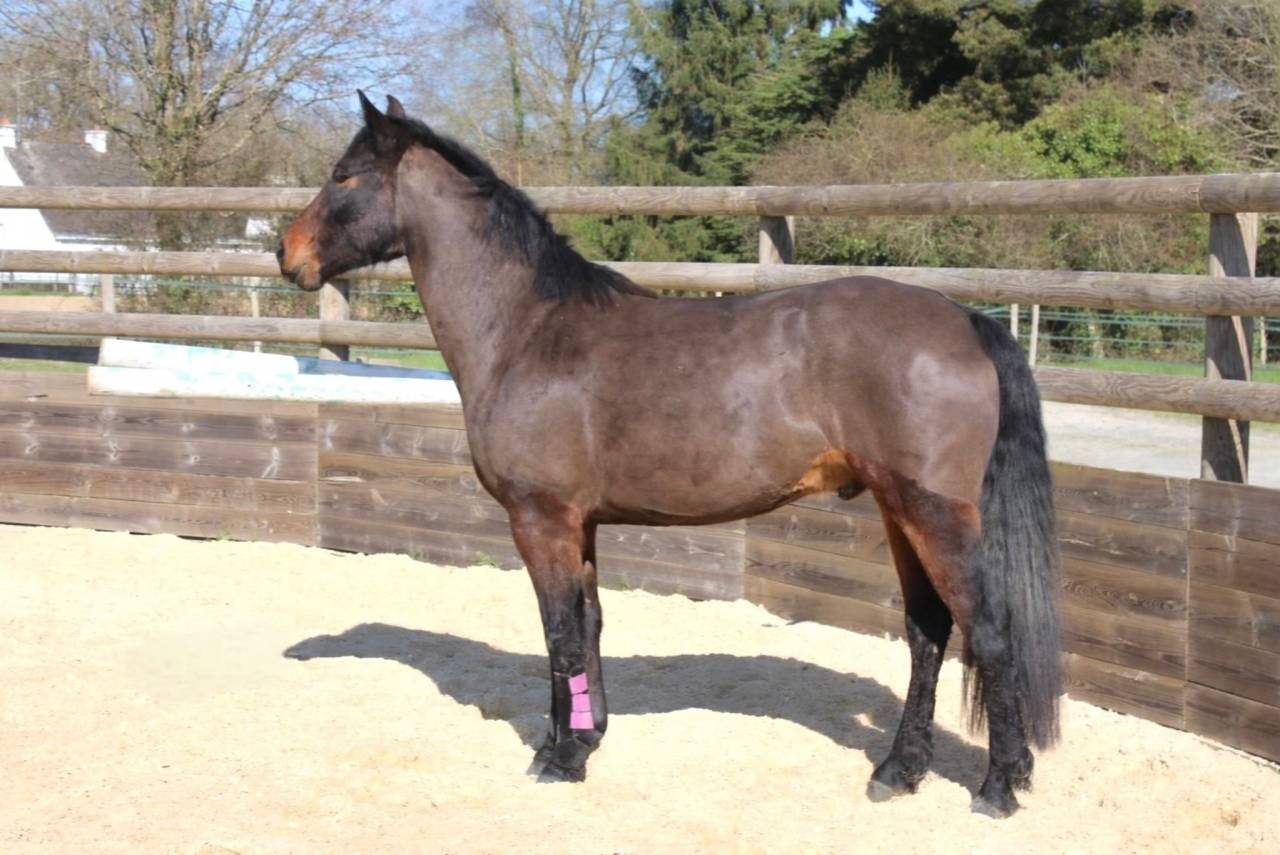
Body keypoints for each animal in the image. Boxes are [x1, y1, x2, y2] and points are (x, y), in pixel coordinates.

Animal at [278, 92, 1062, 817]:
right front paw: (579, 739)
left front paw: (559, 761)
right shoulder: (581, 524)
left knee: (989, 632)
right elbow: (587, 624)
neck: (527, 330)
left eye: (343, 175)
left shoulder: (541, 519)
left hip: (934, 513)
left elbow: (560, 633)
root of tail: (965, 319)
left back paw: (998, 786)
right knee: (927, 632)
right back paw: (900, 771)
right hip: (900, 512)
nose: (288, 253)